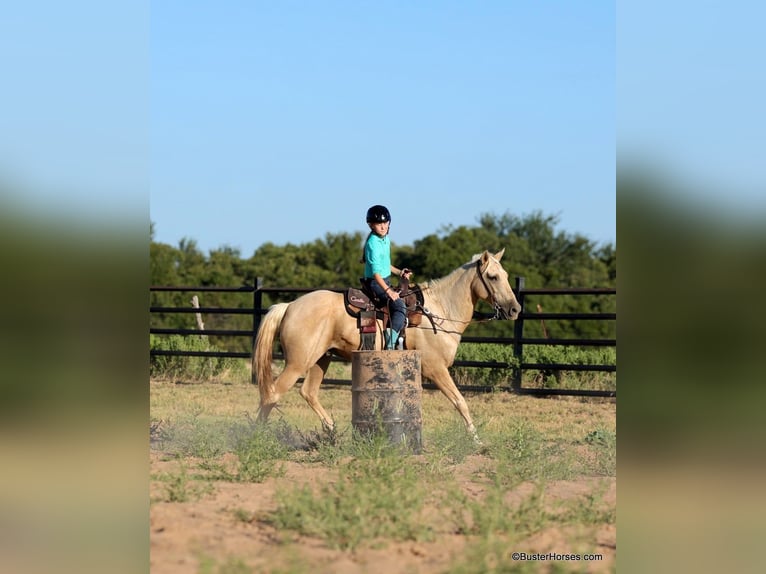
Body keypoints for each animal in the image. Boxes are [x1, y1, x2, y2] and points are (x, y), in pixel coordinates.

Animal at [252, 249, 521, 441]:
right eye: (493, 277)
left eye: (507, 276)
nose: (515, 309)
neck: (440, 310)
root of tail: (289, 306)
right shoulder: (436, 369)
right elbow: (460, 401)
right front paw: (477, 441)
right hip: (298, 363)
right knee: (273, 394)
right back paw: (255, 437)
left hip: (322, 358)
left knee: (308, 392)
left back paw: (332, 432)